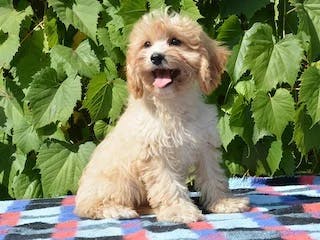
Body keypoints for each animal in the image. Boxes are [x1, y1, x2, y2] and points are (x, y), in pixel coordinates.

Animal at [75, 9, 250, 223]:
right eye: (146, 44)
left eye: (175, 41)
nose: (156, 57)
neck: (173, 103)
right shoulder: (156, 154)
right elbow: (168, 184)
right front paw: (179, 211)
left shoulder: (205, 146)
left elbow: (214, 177)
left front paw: (224, 203)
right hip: (118, 180)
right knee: (89, 206)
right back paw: (117, 210)